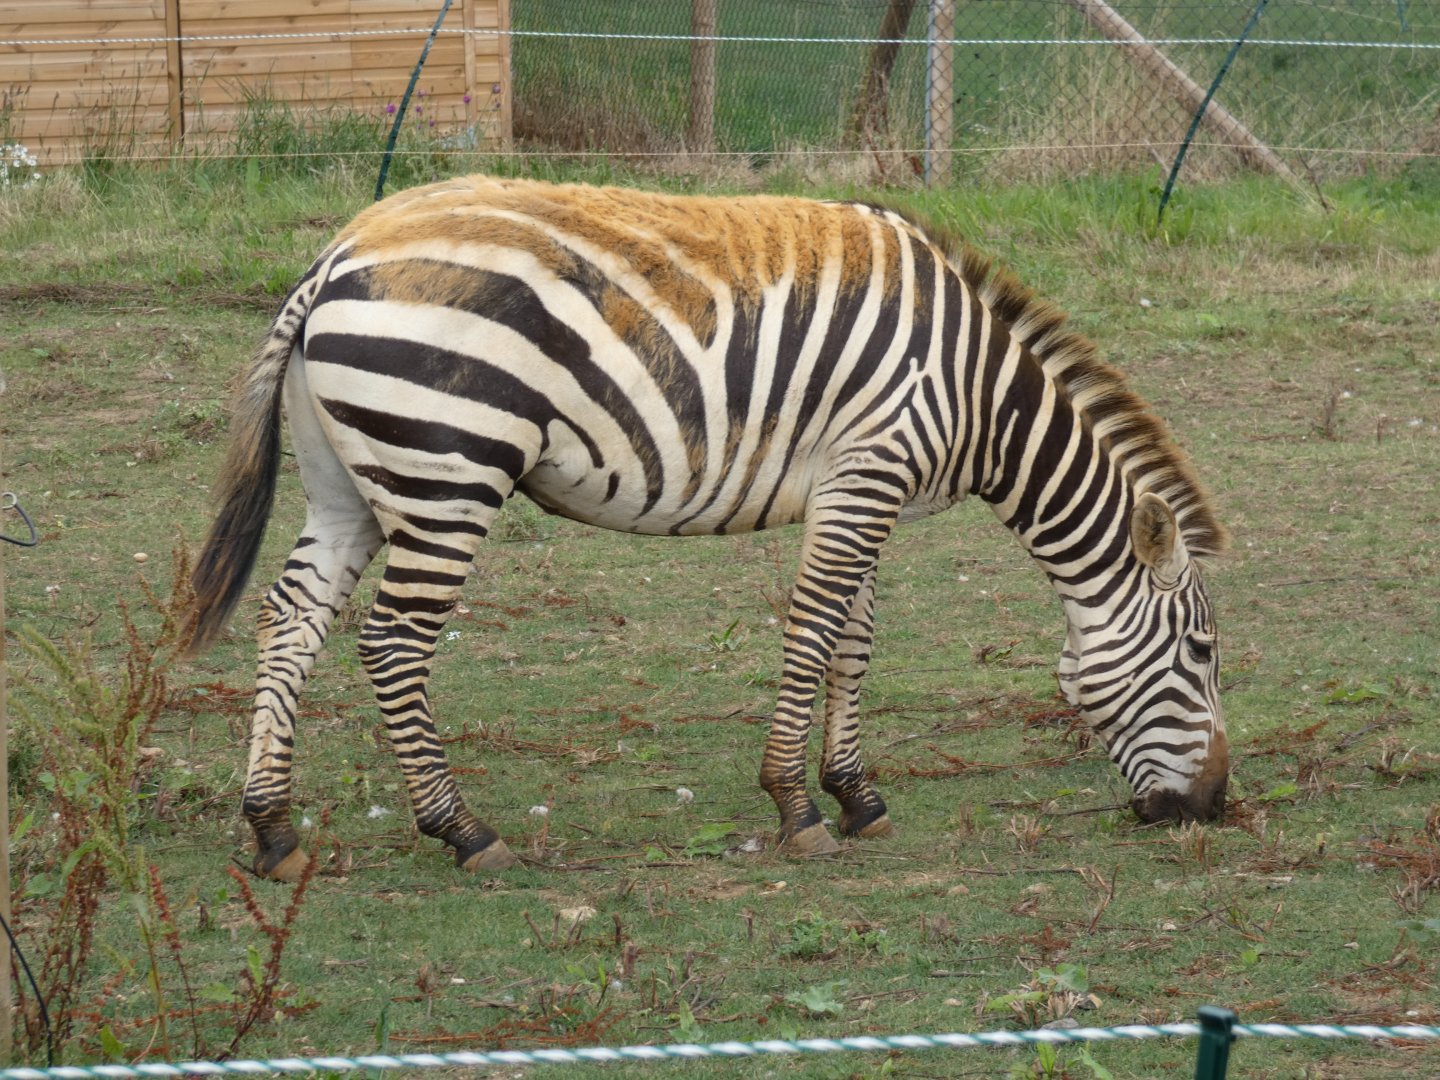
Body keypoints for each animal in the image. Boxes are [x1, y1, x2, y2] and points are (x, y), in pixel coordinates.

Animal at [187, 175, 1229, 881]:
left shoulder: (863, 485)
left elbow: (856, 641)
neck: (977, 391)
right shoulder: (871, 469)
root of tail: (340, 251)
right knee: (395, 642)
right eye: (1203, 652)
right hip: (450, 472)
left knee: (292, 621)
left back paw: (273, 830)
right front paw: (797, 808)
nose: (1215, 807)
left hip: (351, 484)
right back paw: (463, 830)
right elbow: (815, 632)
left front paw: (857, 795)